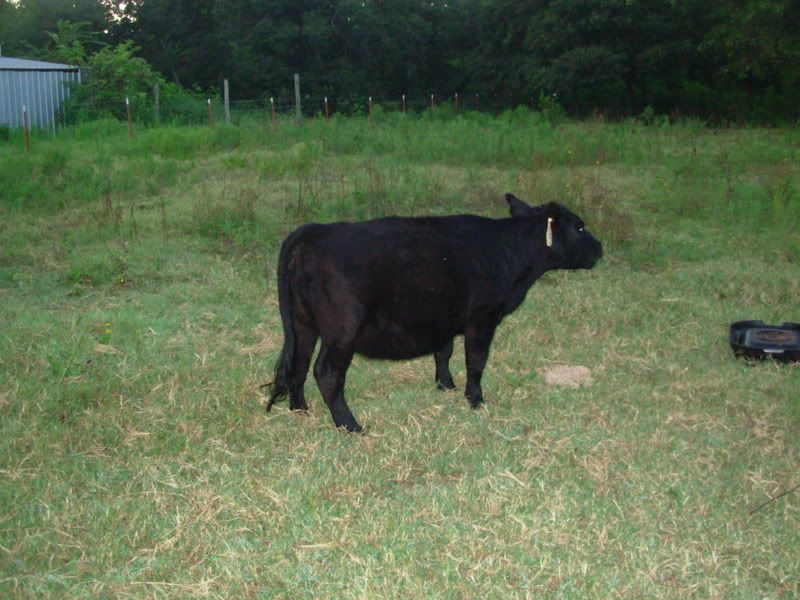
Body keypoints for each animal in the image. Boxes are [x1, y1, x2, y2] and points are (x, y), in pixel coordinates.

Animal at [265, 193, 603, 432]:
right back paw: (351, 425)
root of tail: (312, 232)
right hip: (341, 330)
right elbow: (476, 360)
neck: (508, 252)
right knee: (326, 373)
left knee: (299, 364)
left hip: (303, 323)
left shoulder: (444, 317)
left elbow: (444, 351)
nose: (600, 249)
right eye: (580, 226)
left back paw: (300, 410)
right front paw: (475, 399)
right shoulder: (482, 318)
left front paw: (445, 385)